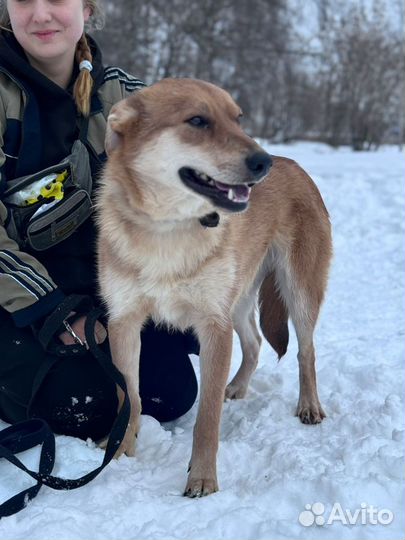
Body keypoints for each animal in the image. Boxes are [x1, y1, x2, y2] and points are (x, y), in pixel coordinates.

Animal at [95, 77, 332, 498]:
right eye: (197, 121)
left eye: (238, 119)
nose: (263, 163)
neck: (167, 230)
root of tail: (295, 165)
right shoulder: (124, 322)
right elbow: (131, 396)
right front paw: (120, 450)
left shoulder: (213, 327)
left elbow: (207, 419)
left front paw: (203, 478)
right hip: (237, 301)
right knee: (254, 343)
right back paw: (235, 387)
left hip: (298, 292)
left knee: (306, 351)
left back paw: (307, 405)